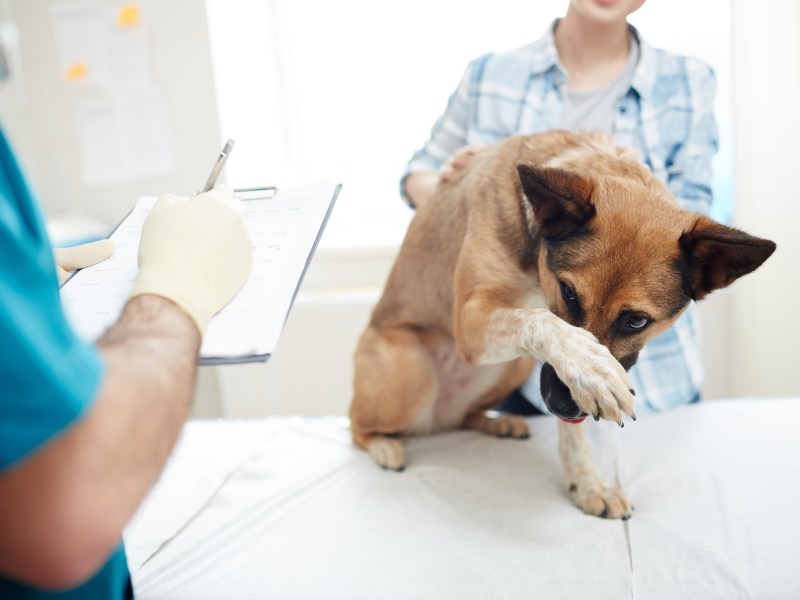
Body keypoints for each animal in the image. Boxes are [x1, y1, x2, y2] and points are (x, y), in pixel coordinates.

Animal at [350, 131, 776, 520]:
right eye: (569, 293)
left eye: (637, 320)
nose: (559, 404)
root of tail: (435, 421)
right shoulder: (470, 323)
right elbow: (541, 321)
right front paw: (591, 370)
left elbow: (574, 434)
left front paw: (587, 484)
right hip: (412, 371)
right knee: (356, 427)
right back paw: (384, 445)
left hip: (513, 365)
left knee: (462, 418)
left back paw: (495, 423)